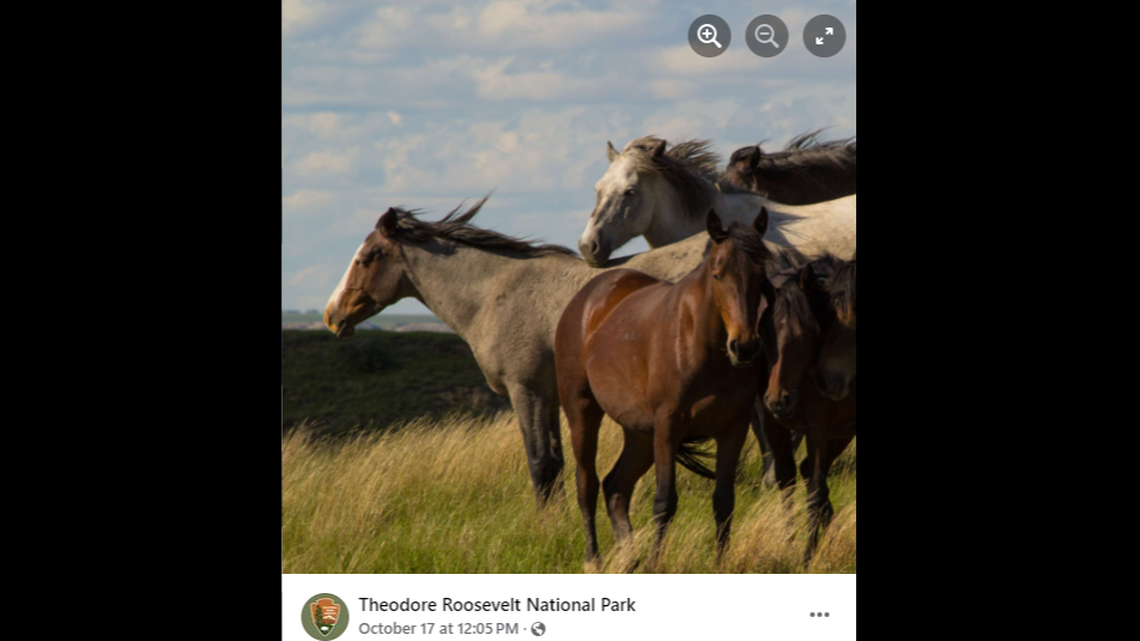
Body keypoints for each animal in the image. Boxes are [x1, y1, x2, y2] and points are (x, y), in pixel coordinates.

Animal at [325, 196, 778, 506]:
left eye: (367, 257)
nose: (332, 315)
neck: (496, 292)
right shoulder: (554, 397)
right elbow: (558, 464)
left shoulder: (526, 392)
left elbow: (540, 464)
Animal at [555, 208, 776, 569]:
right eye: (718, 275)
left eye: (761, 275)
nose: (744, 347)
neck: (700, 344)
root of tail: (585, 301)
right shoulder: (669, 426)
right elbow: (664, 503)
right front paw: (654, 565)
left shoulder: (733, 429)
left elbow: (724, 501)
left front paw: (719, 565)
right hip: (583, 414)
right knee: (586, 486)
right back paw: (594, 561)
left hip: (640, 433)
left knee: (616, 486)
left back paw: (628, 558)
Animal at [759, 255, 857, 563]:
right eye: (764, 333)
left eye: (805, 334)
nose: (778, 400)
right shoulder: (774, 425)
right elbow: (787, 480)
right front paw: (790, 544)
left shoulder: (819, 429)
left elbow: (815, 488)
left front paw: (807, 555)